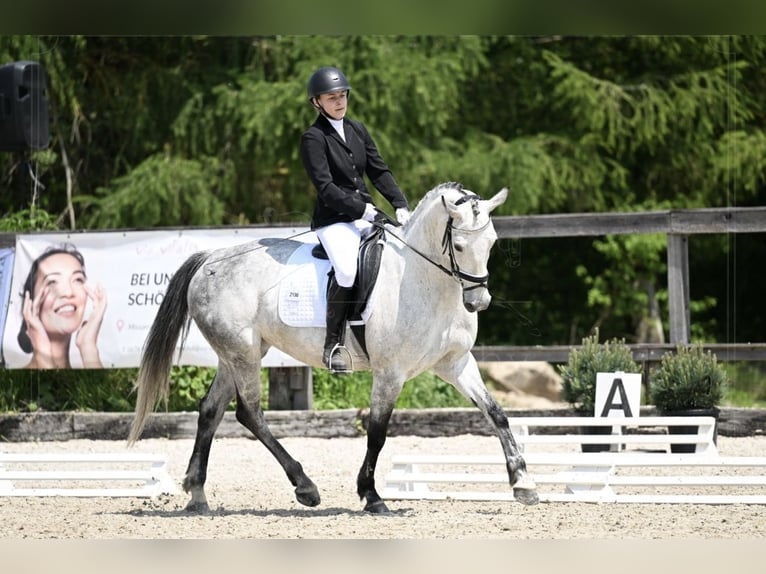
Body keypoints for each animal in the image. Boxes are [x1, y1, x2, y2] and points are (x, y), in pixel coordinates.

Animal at [129, 183, 540, 512]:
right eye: (457, 244)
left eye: (492, 243)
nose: (478, 302)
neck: (423, 280)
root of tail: (209, 261)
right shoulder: (390, 373)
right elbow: (377, 432)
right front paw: (371, 496)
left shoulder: (455, 363)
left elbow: (497, 413)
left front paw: (524, 484)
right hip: (242, 353)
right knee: (250, 414)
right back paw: (305, 487)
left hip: (238, 354)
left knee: (210, 411)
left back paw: (198, 494)